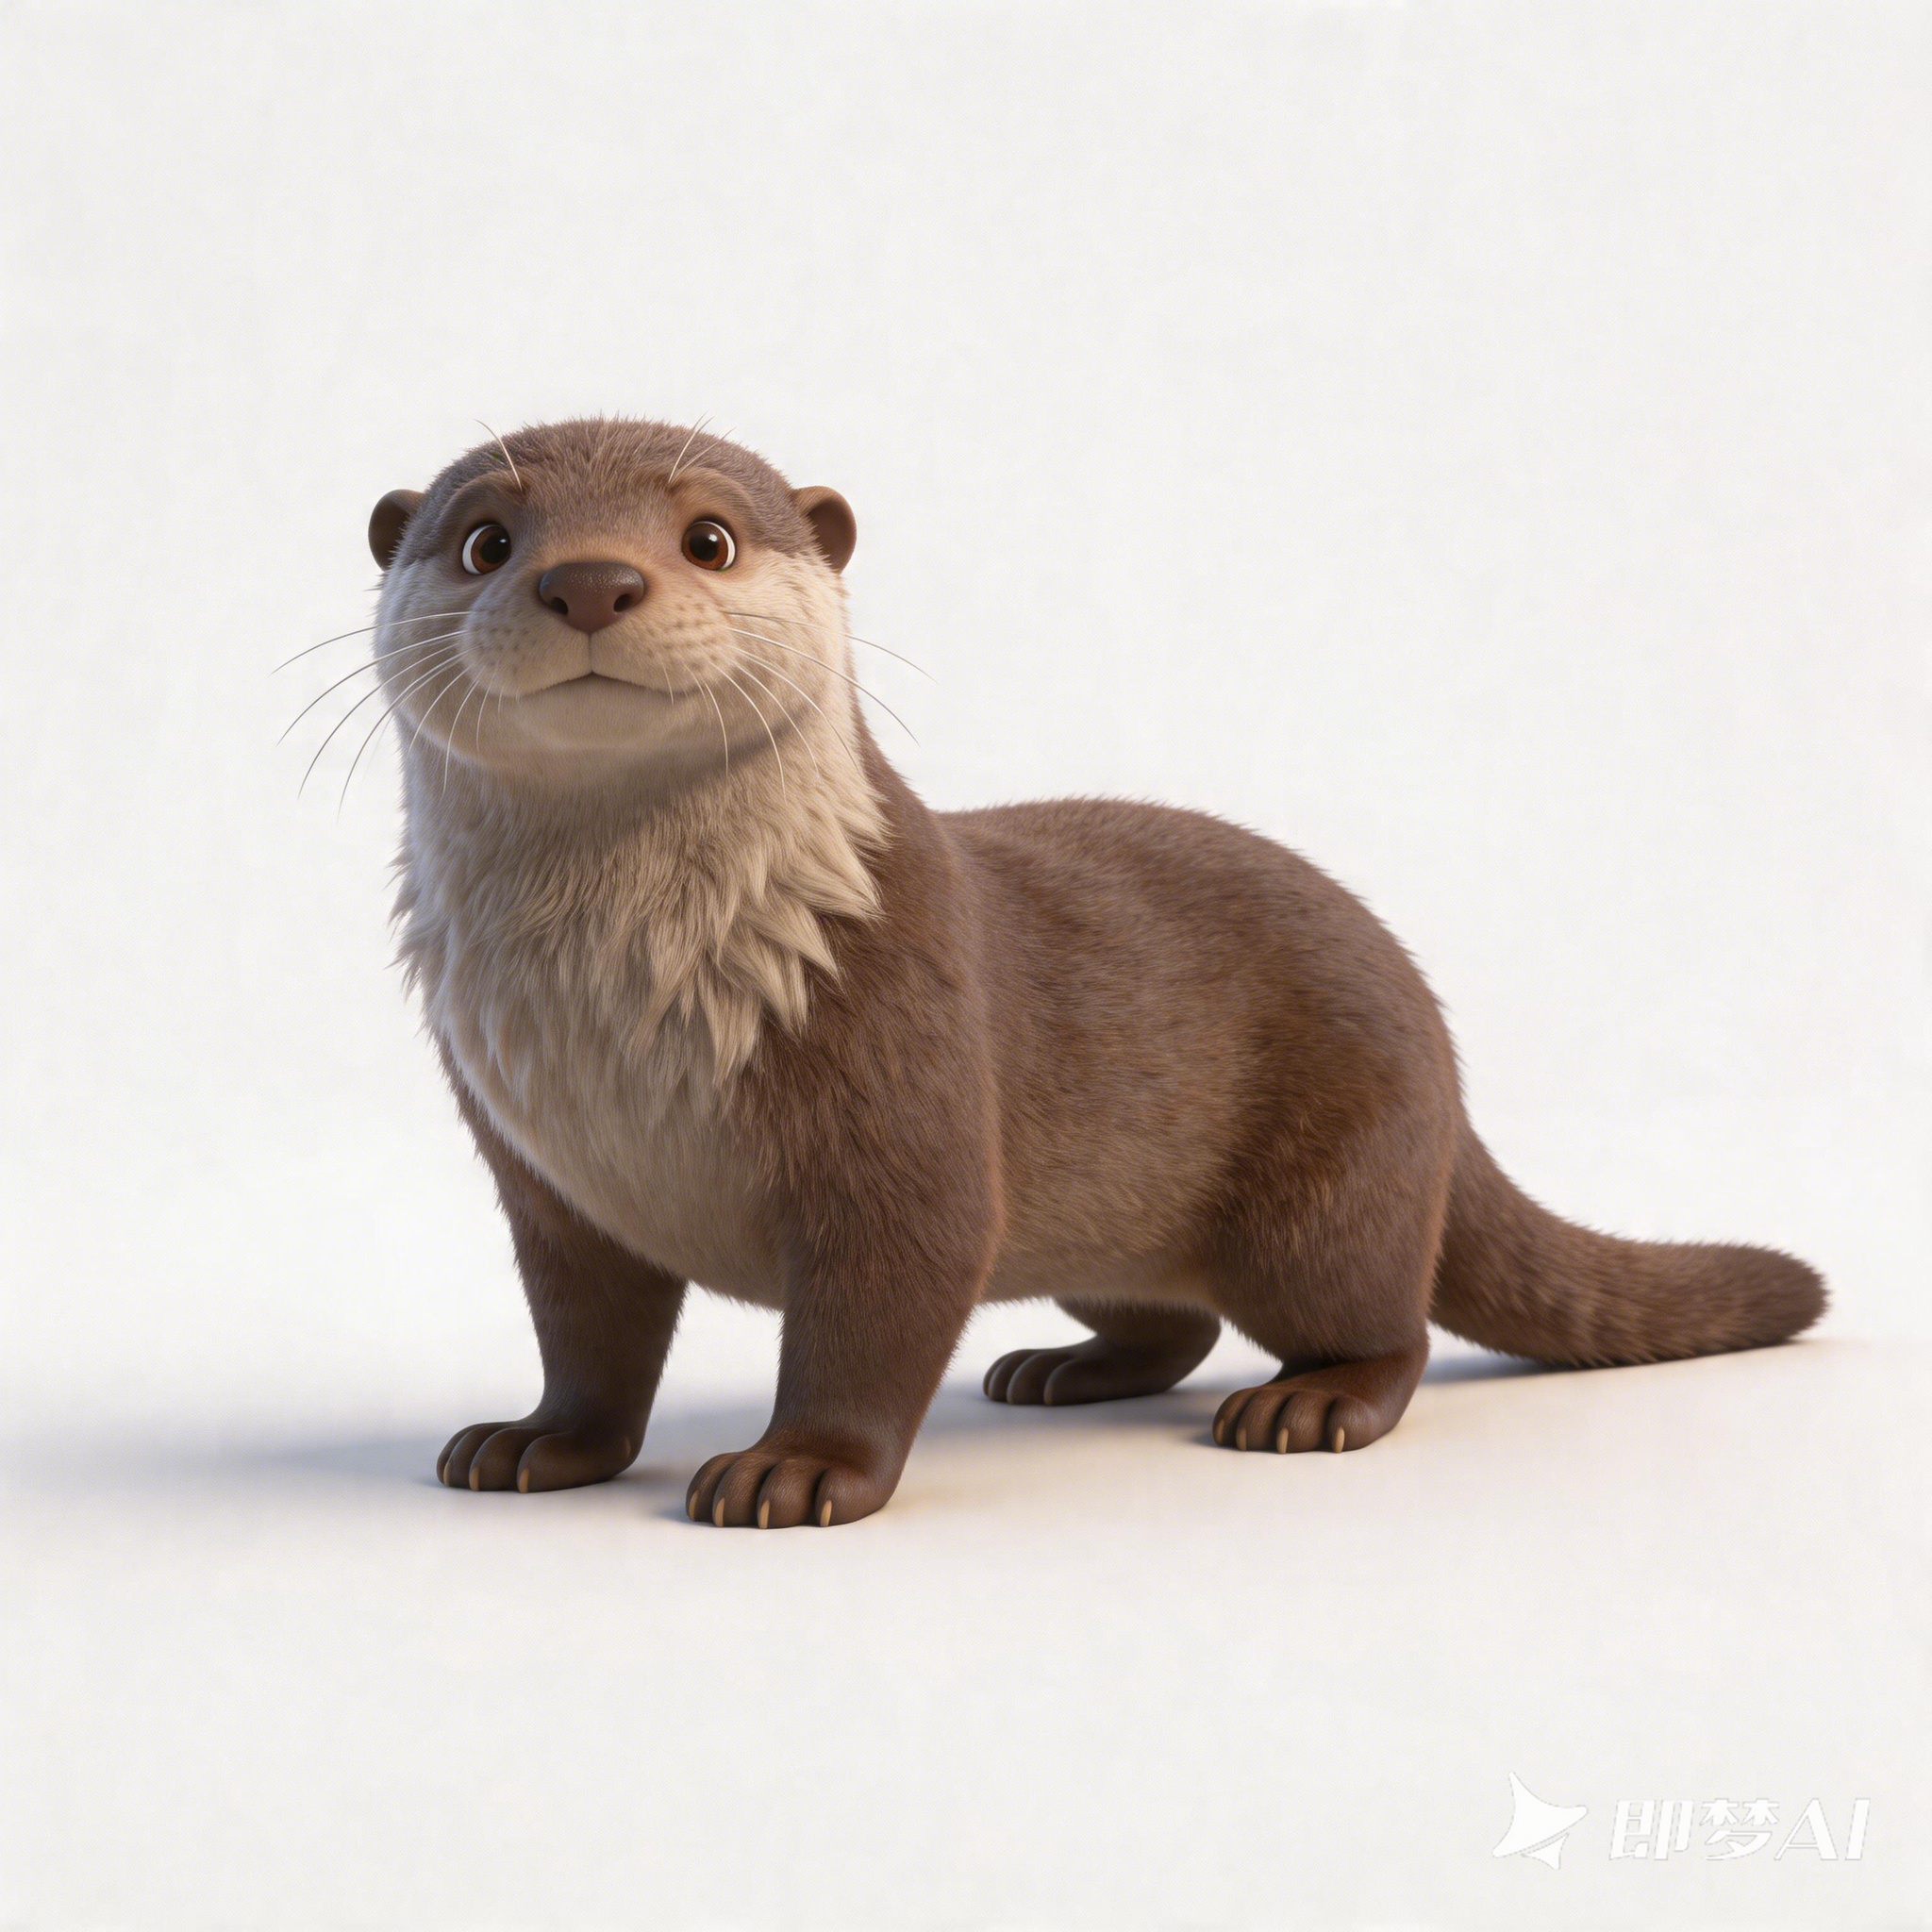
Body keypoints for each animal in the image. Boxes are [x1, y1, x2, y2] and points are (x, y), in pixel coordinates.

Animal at [364, 418, 1823, 1528]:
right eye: (485, 538)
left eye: (709, 536)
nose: (589, 581)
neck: (624, 1023)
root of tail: (1439, 1046)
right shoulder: (545, 1176)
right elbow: (586, 1329)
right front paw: (537, 1441)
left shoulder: (902, 1079)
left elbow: (879, 1306)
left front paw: (797, 1468)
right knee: (1169, 1320)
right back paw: (1056, 1368)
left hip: (1334, 1166)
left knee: (1382, 1320)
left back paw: (1306, 1404)